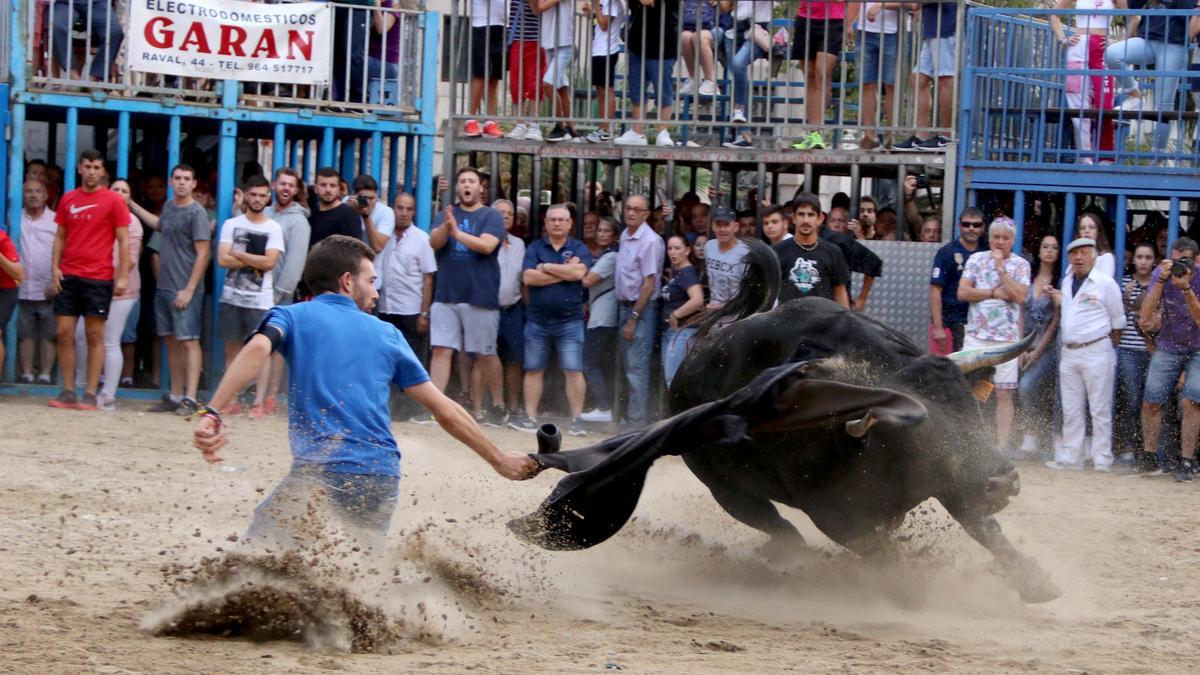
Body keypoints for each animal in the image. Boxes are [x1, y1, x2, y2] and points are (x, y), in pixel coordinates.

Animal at [508, 239, 1060, 600]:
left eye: (970, 407)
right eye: (920, 428)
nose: (1002, 480)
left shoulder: (954, 481)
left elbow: (987, 529)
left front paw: (1037, 583)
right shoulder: (837, 516)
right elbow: (886, 556)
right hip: (730, 491)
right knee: (779, 530)